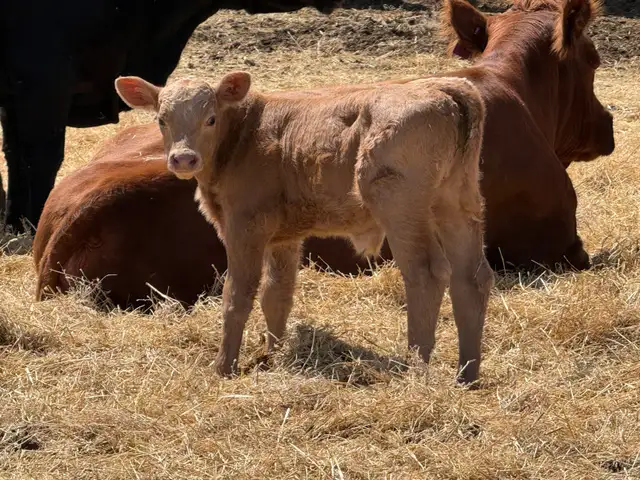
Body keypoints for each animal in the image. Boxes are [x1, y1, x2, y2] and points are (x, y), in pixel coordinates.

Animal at [0, 0, 339, 236]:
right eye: (161, 120)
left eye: (212, 119)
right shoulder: (43, 82)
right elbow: (40, 160)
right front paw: (33, 222)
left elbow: (15, 159)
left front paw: (15, 223)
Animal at [113, 71, 493, 384]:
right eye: (161, 119)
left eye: (210, 118)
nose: (183, 158)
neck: (246, 136)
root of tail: (444, 87)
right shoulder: (284, 237)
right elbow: (276, 293)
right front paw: (272, 355)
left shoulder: (245, 227)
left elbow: (237, 295)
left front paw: (224, 367)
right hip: (458, 203)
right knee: (471, 277)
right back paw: (467, 374)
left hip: (400, 206)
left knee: (425, 274)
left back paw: (414, 369)